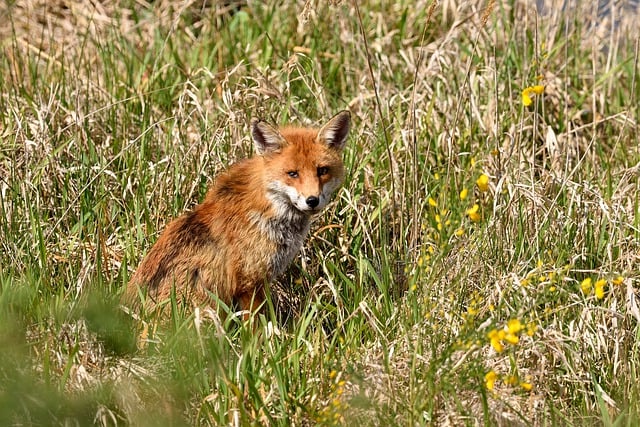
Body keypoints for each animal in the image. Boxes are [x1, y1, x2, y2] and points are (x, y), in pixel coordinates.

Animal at [124, 112, 350, 320]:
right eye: (292, 174)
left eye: (322, 170)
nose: (312, 200)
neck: (267, 208)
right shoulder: (249, 283)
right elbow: (258, 326)